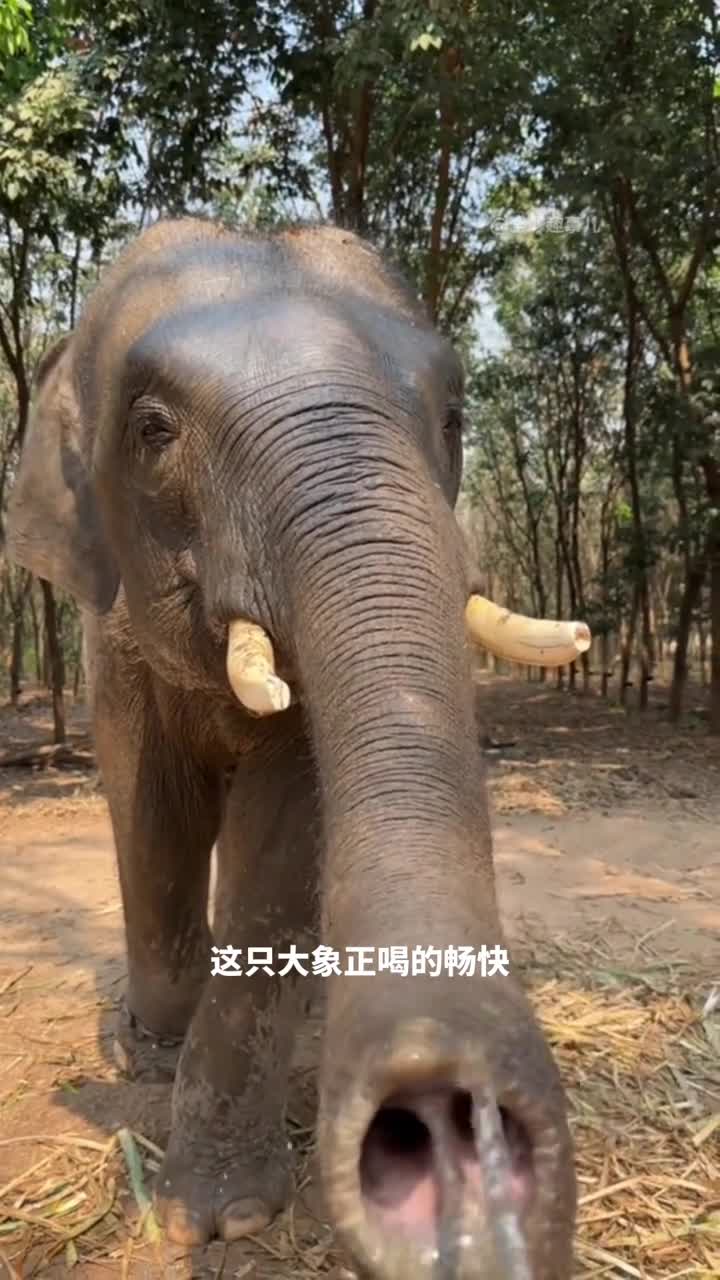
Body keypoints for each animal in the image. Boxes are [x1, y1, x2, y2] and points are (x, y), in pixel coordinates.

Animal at [6, 218, 579, 1280]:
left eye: (453, 417)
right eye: (154, 432)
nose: (451, 1117)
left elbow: (281, 839)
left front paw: (225, 1213)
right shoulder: (111, 641)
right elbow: (154, 816)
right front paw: (152, 1057)